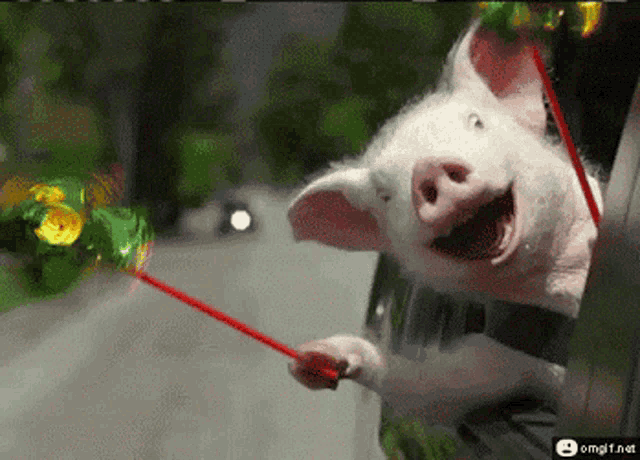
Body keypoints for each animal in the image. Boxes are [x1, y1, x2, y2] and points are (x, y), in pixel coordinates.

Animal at [287, 19, 605, 429]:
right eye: (385, 195)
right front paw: (315, 359)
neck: (561, 282)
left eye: (477, 122)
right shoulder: (499, 361)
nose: (428, 168)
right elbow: (429, 388)